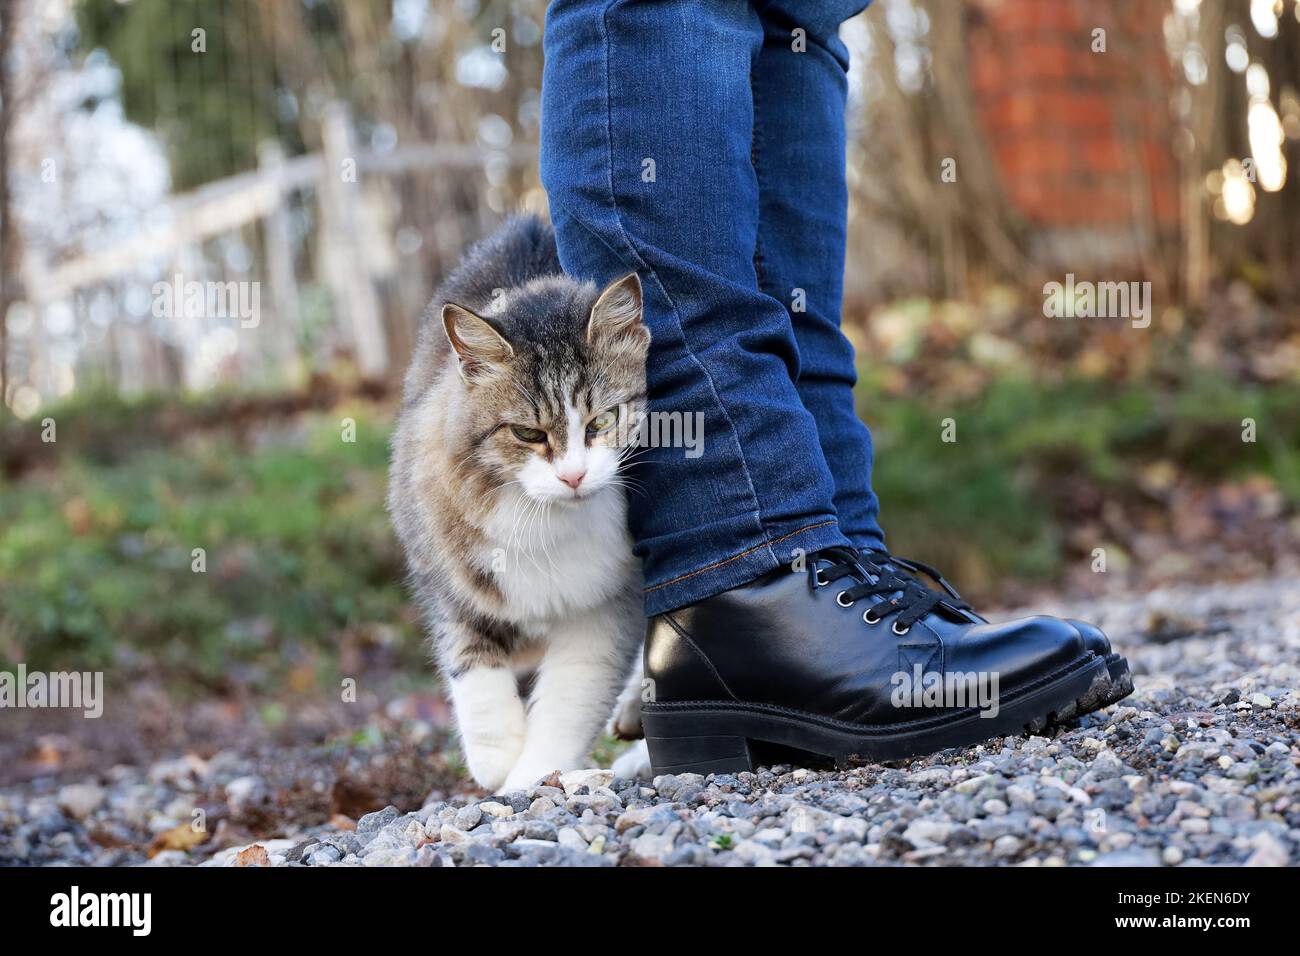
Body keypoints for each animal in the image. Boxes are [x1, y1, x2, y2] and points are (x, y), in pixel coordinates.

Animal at [384, 217, 650, 790]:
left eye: (601, 421)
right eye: (528, 433)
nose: (573, 475)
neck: (549, 521)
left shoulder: (607, 607)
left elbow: (569, 701)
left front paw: (531, 779)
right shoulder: (447, 574)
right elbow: (471, 664)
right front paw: (495, 758)